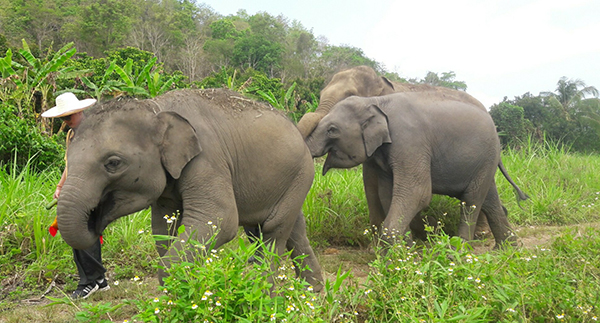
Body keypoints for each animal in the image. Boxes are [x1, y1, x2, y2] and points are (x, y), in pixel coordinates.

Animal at [57, 88, 324, 292]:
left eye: (113, 163)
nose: (94, 222)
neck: (155, 108)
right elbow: (162, 226)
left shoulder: (208, 157)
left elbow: (220, 219)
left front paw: (182, 285)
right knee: (289, 230)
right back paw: (313, 292)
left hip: (302, 174)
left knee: (272, 229)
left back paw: (263, 293)